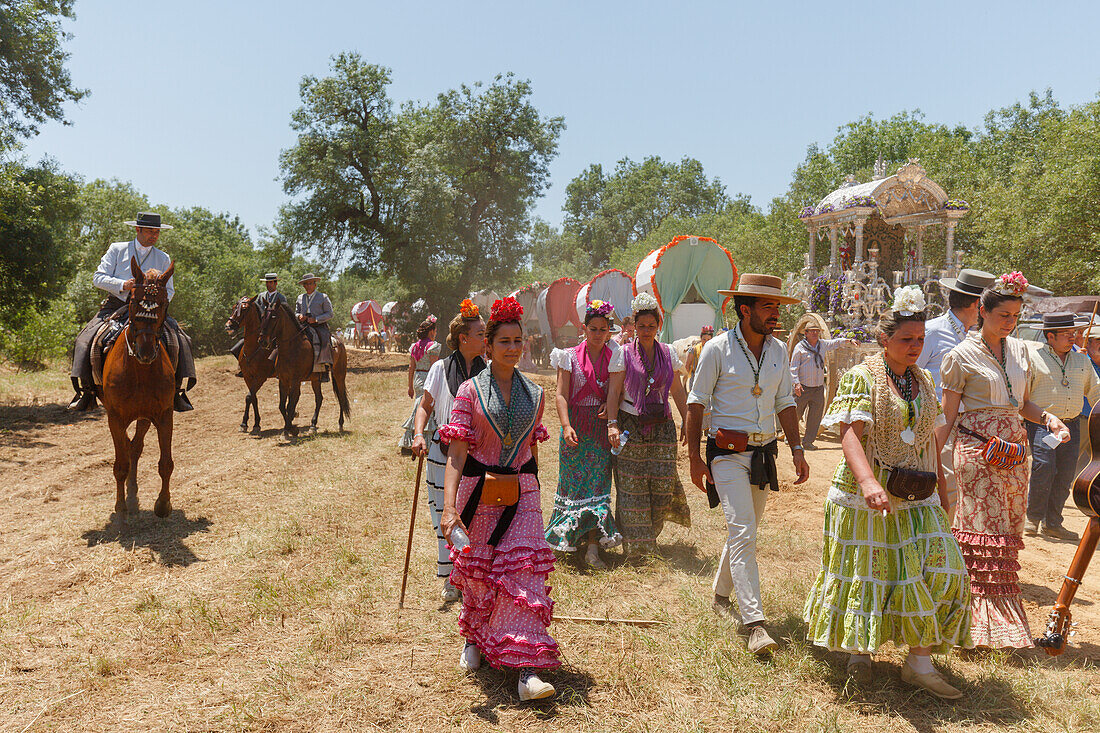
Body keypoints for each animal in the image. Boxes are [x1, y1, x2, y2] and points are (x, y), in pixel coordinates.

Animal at [100, 255, 176, 519]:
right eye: (133, 299)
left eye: (163, 303)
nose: (145, 352)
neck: (140, 371)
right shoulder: (115, 417)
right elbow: (120, 464)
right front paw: (120, 508)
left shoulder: (164, 415)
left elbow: (165, 463)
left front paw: (163, 504)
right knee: (127, 448)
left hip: (144, 417)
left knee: (134, 448)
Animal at [223, 297, 275, 431]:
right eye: (234, 307)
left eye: (244, 308)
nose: (228, 326)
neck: (255, 347)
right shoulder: (248, 376)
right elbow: (253, 398)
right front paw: (254, 423)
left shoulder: (260, 377)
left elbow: (249, 396)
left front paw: (246, 423)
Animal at [256, 301, 347, 433]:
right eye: (262, 316)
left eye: (274, 317)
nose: (262, 341)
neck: (292, 347)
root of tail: (339, 342)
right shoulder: (283, 380)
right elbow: (282, 406)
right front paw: (290, 428)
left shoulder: (295, 380)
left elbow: (290, 405)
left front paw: (290, 430)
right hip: (316, 379)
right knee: (319, 398)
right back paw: (313, 425)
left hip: (339, 375)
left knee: (341, 397)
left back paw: (340, 423)